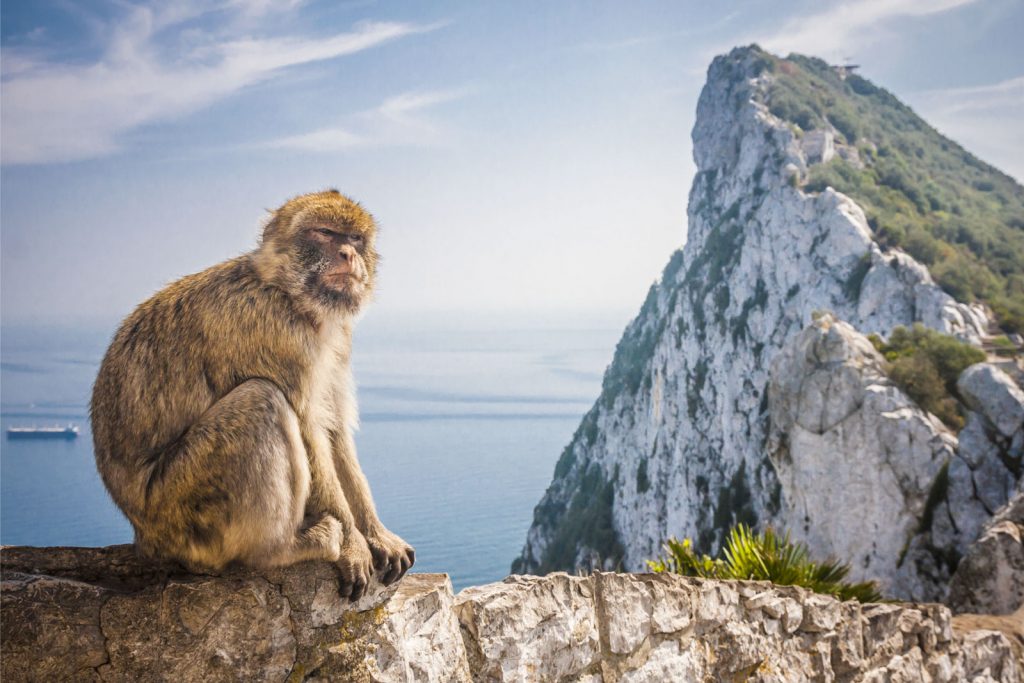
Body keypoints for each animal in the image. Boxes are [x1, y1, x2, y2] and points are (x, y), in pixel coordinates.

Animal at [91, 189, 411, 602]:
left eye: (355, 238)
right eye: (324, 233)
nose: (348, 254)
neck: (287, 294)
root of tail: (143, 537)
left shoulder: (337, 340)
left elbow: (334, 430)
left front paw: (376, 534)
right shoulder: (276, 330)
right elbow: (309, 430)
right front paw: (354, 545)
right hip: (181, 511)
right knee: (262, 399)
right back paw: (281, 549)